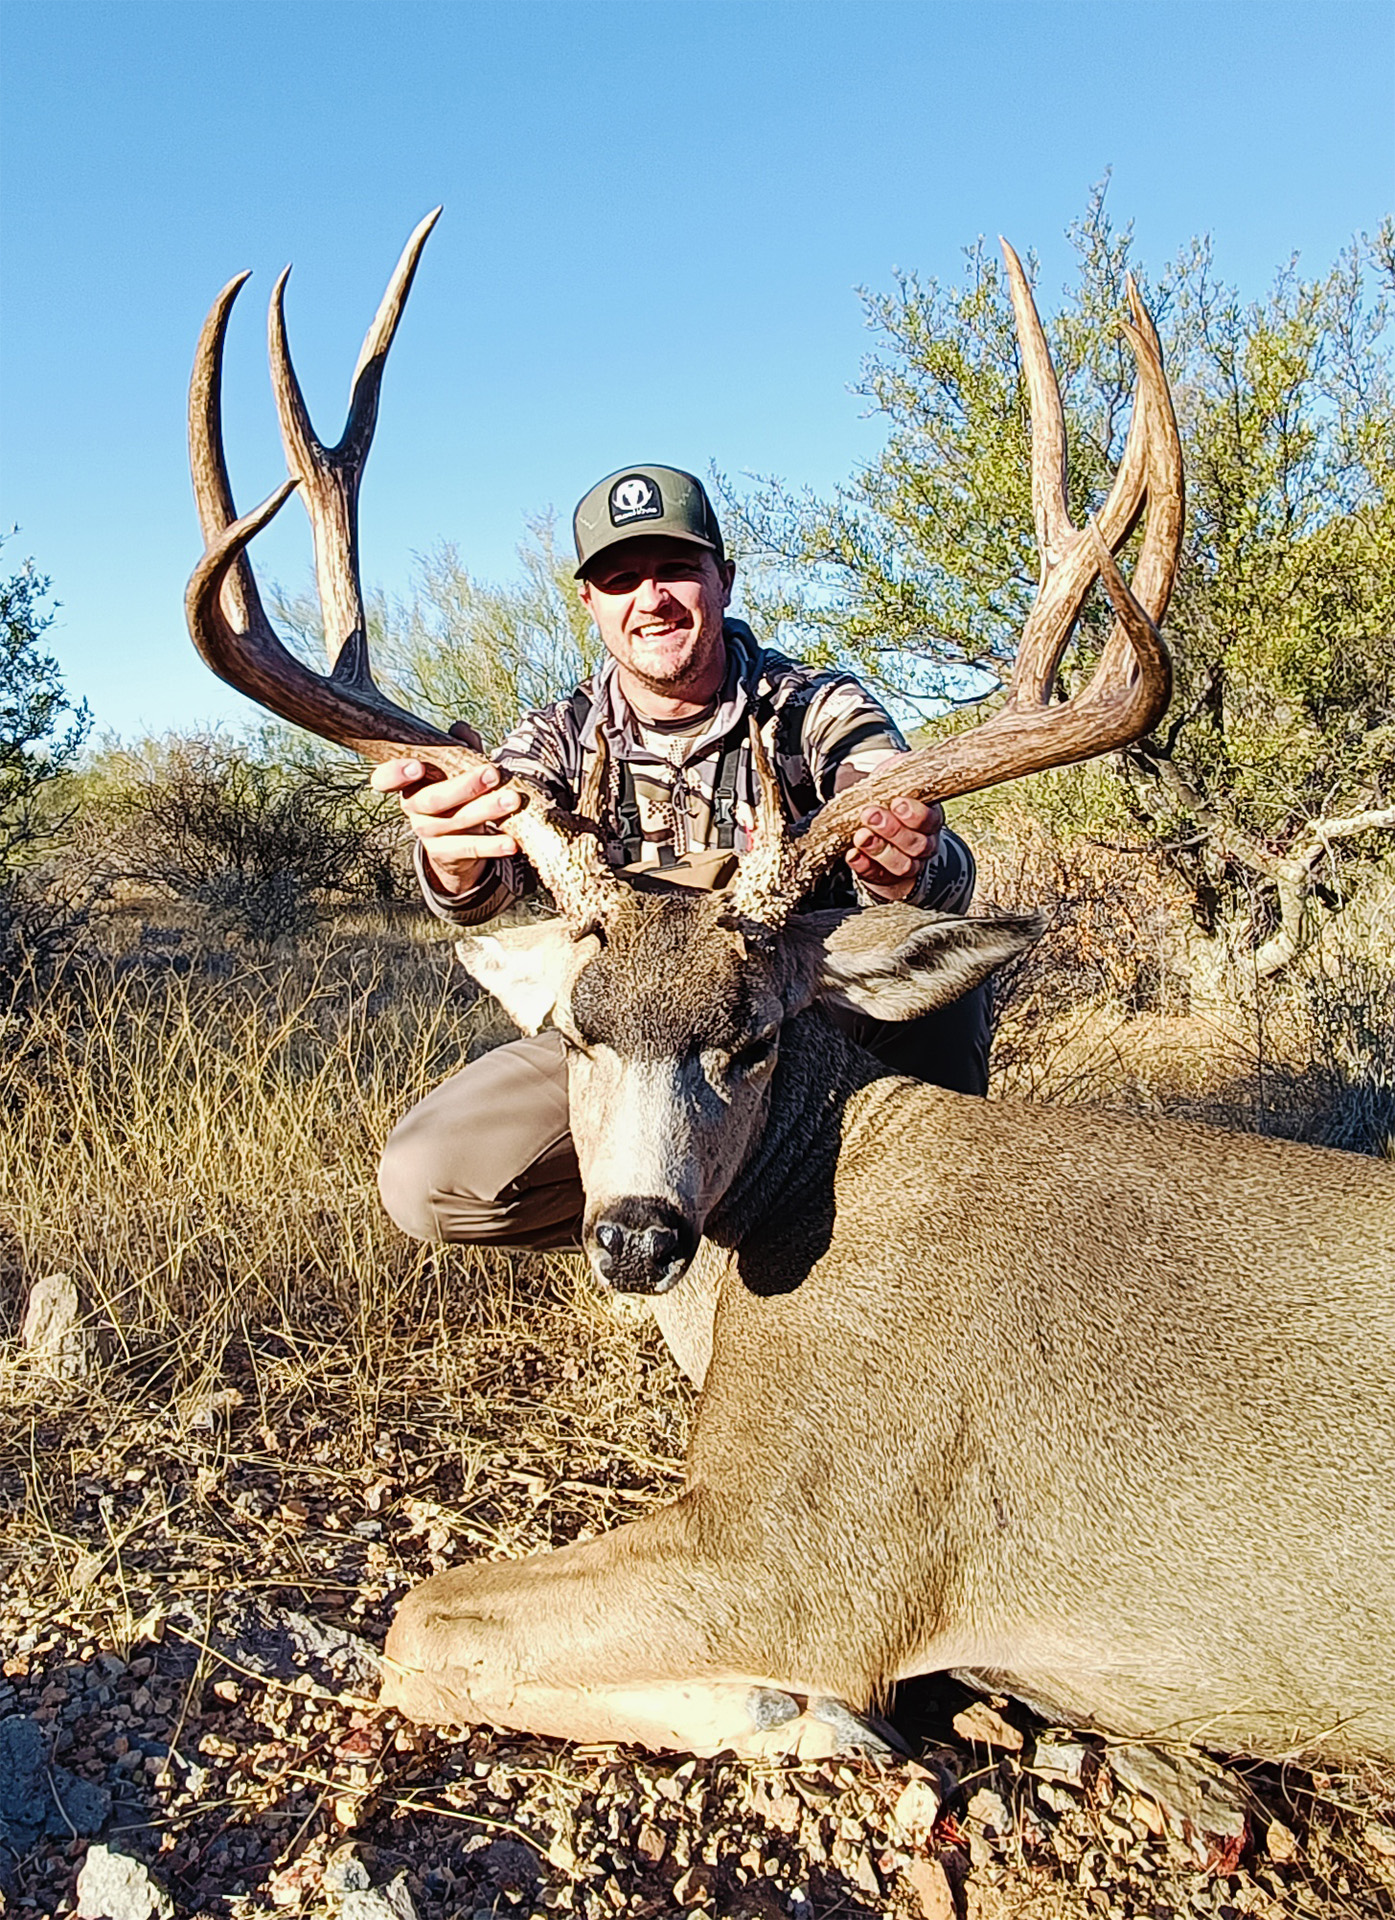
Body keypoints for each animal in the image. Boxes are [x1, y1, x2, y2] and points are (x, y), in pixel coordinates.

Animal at [186, 211, 1395, 1771]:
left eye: (754, 1039)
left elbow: (421, 1621)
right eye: (574, 1030)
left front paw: (801, 1711)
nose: (635, 1237)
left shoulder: (819, 1533)